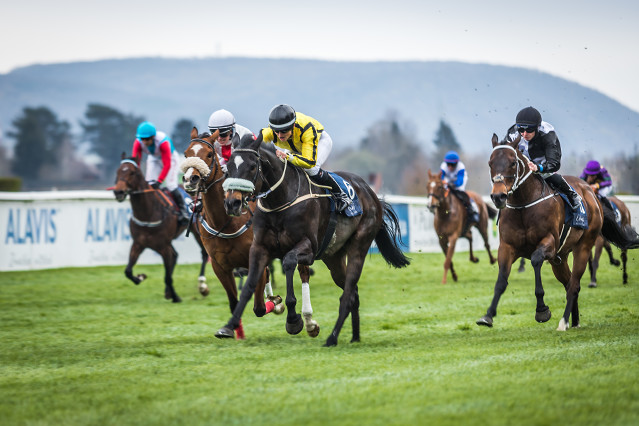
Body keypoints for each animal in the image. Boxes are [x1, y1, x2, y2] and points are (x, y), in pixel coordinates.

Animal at [111, 155, 209, 304]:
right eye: (118, 171)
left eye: (132, 172)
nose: (118, 192)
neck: (148, 213)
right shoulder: (138, 244)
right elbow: (128, 271)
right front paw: (140, 277)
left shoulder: (163, 246)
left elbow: (167, 276)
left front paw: (176, 297)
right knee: (176, 256)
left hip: (197, 231)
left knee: (204, 254)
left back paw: (202, 285)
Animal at [216, 136, 410, 346]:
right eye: (228, 167)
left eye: (252, 166)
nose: (232, 203)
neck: (280, 200)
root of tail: (371, 193)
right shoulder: (259, 248)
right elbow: (249, 285)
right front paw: (229, 326)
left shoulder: (308, 248)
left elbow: (289, 262)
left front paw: (294, 320)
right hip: (333, 258)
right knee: (353, 293)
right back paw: (355, 337)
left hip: (359, 245)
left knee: (347, 295)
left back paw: (332, 338)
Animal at [478, 135, 636, 332]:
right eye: (490, 163)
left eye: (513, 163)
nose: (498, 197)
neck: (524, 205)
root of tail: (592, 194)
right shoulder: (507, 247)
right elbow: (501, 281)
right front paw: (488, 316)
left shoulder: (550, 243)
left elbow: (536, 260)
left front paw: (542, 310)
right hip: (559, 259)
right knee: (569, 283)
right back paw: (574, 321)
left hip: (583, 246)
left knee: (574, 285)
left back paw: (564, 321)